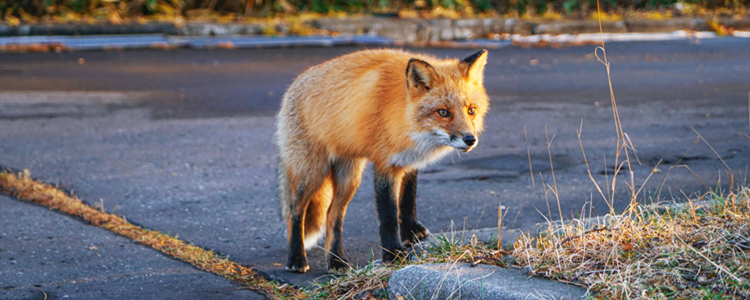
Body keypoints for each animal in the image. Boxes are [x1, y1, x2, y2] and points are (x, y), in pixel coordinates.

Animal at [280, 48, 490, 274]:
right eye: (443, 112)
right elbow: (388, 213)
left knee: (332, 216)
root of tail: (296, 82)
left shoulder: (408, 160)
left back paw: (336, 261)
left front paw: (411, 231)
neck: (405, 118)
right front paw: (393, 253)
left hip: (349, 179)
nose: (470, 139)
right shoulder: (385, 164)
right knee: (294, 211)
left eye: (471, 110)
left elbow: (407, 198)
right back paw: (296, 257)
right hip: (311, 173)